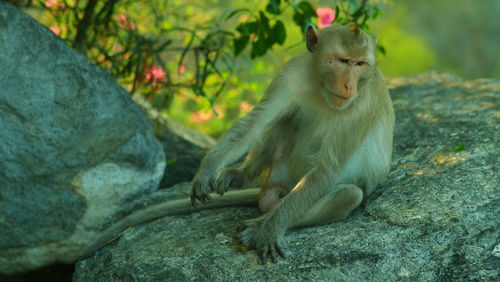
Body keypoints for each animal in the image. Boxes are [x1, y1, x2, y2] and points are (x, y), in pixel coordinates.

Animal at [191, 23, 394, 264]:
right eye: (343, 60)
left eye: (360, 63)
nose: (347, 86)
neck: (321, 88)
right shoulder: (291, 73)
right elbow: (256, 122)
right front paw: (207, 169)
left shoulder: (361, 106)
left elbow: (326, 171)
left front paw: (271, 230)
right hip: (279, 171)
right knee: (286, 117)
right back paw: (242, 175)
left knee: (348, 195)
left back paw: (257, 227)